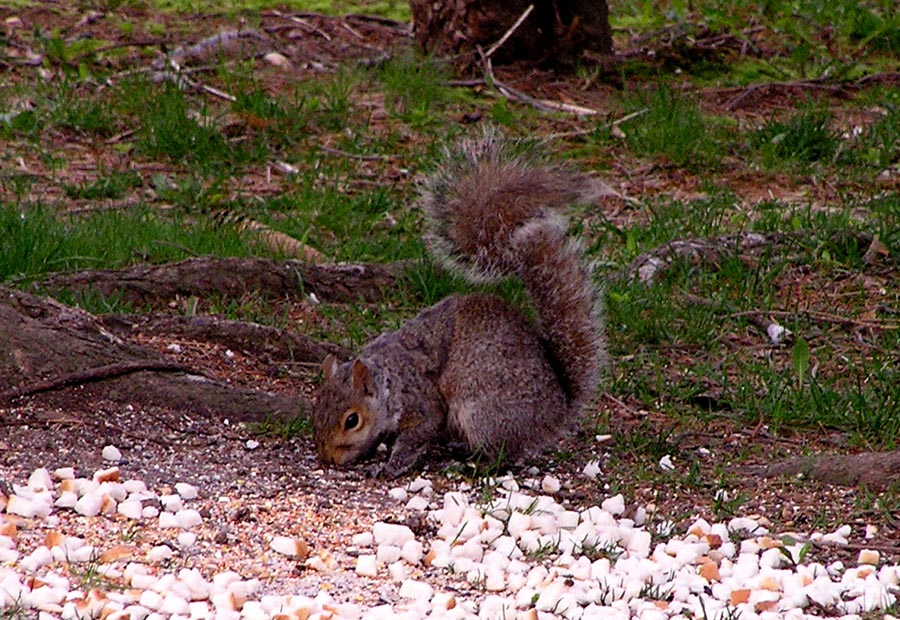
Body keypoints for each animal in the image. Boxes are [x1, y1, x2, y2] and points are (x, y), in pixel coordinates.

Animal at [310, 130, 604, 480]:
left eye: (351, 420)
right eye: (316, 407)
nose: (328, 457)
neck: (388, 379)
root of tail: (557, 410)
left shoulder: (422, 402)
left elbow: (417, 436)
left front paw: (390, 466)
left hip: (481, 411)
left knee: (502, 452)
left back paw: (471, 462)